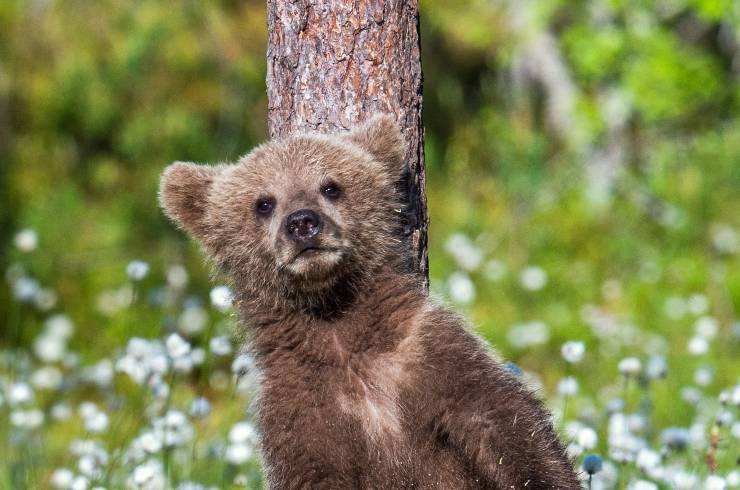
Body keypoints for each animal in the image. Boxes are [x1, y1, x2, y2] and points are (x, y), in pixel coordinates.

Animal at [159, 114, 581, 489]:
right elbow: (310, 471)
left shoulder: (431, 356)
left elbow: (508, 426)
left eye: (331, 186)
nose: (302, 223)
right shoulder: (298, 408)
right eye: (263, 202)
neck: (337, 325)